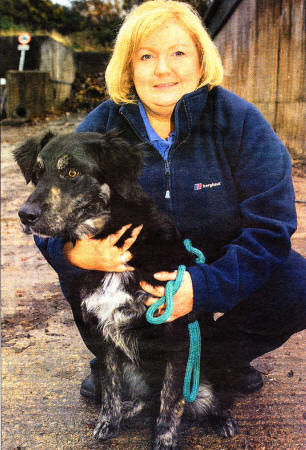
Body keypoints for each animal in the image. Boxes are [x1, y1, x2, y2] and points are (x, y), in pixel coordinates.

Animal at [14, 131, 239, 450]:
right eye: (37, 173)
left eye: (72, 173)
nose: (26, 215)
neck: (113, 236)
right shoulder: (105, 332)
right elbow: (111, 387)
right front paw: (108, 422)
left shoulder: (177, 333)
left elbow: (172, 398)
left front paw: (164, 439)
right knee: (144, 397)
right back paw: (130, 409)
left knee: (207, 398)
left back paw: (223, 419)